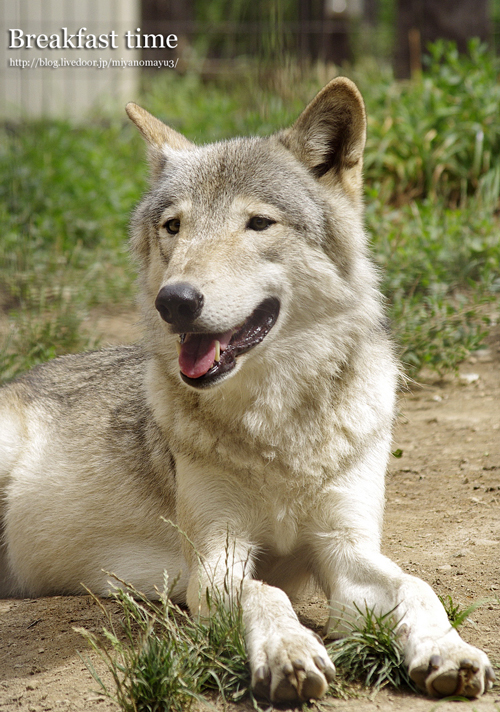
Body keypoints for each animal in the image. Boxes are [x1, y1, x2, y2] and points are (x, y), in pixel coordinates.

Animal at [0, 76, 494, 700]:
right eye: (174, 227)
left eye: (258, 223)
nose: (173, 301)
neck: (278, 428)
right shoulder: (216, 557)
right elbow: (266, 590)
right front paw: (288, 651)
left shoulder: (345, 546)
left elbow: (417, 586)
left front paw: (446, 650)